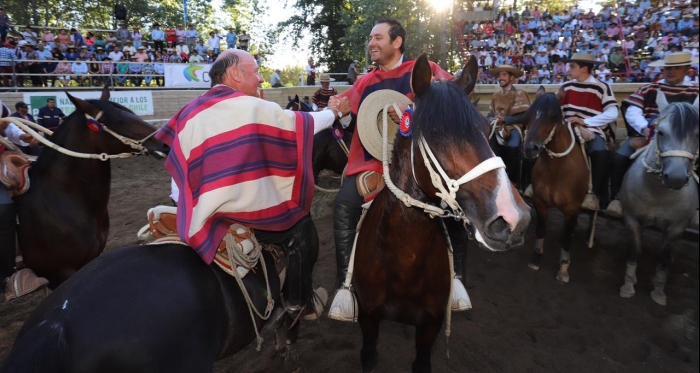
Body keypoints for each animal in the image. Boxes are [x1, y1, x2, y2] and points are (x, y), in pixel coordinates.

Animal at [352, 53, 528, 370]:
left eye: (487, 130)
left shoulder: (430, 325)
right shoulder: (369, 320)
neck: (403, 264)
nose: (513, 218)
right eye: (434, 133)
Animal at [524, 89, 592, 282]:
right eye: (528, 115)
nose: (530, 148)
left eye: (553, 116)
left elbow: (565, 238)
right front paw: (535, 259)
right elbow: (540, 230)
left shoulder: (572, 208)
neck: (557, 170)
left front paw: (563, 268)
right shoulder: (539, 202)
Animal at [616, 93, 700, 306]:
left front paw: (658, 290)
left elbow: (662, 256)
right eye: (660, 132)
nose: (676, 178)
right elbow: (635, 250)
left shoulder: (677, 227)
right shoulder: (631, 218)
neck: (659, 194)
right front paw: (628, 285)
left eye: (698, 135)